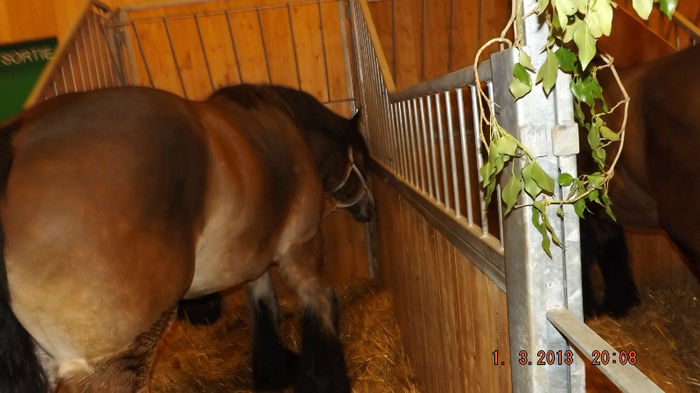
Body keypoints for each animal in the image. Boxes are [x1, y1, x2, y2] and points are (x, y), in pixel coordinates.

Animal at [0, 82, 374, 388]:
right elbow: (320, 305)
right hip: (115, 363)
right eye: (362, 159)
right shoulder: (301, 246)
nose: (369, 208)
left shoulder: (253, 260)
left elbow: (264, 306)